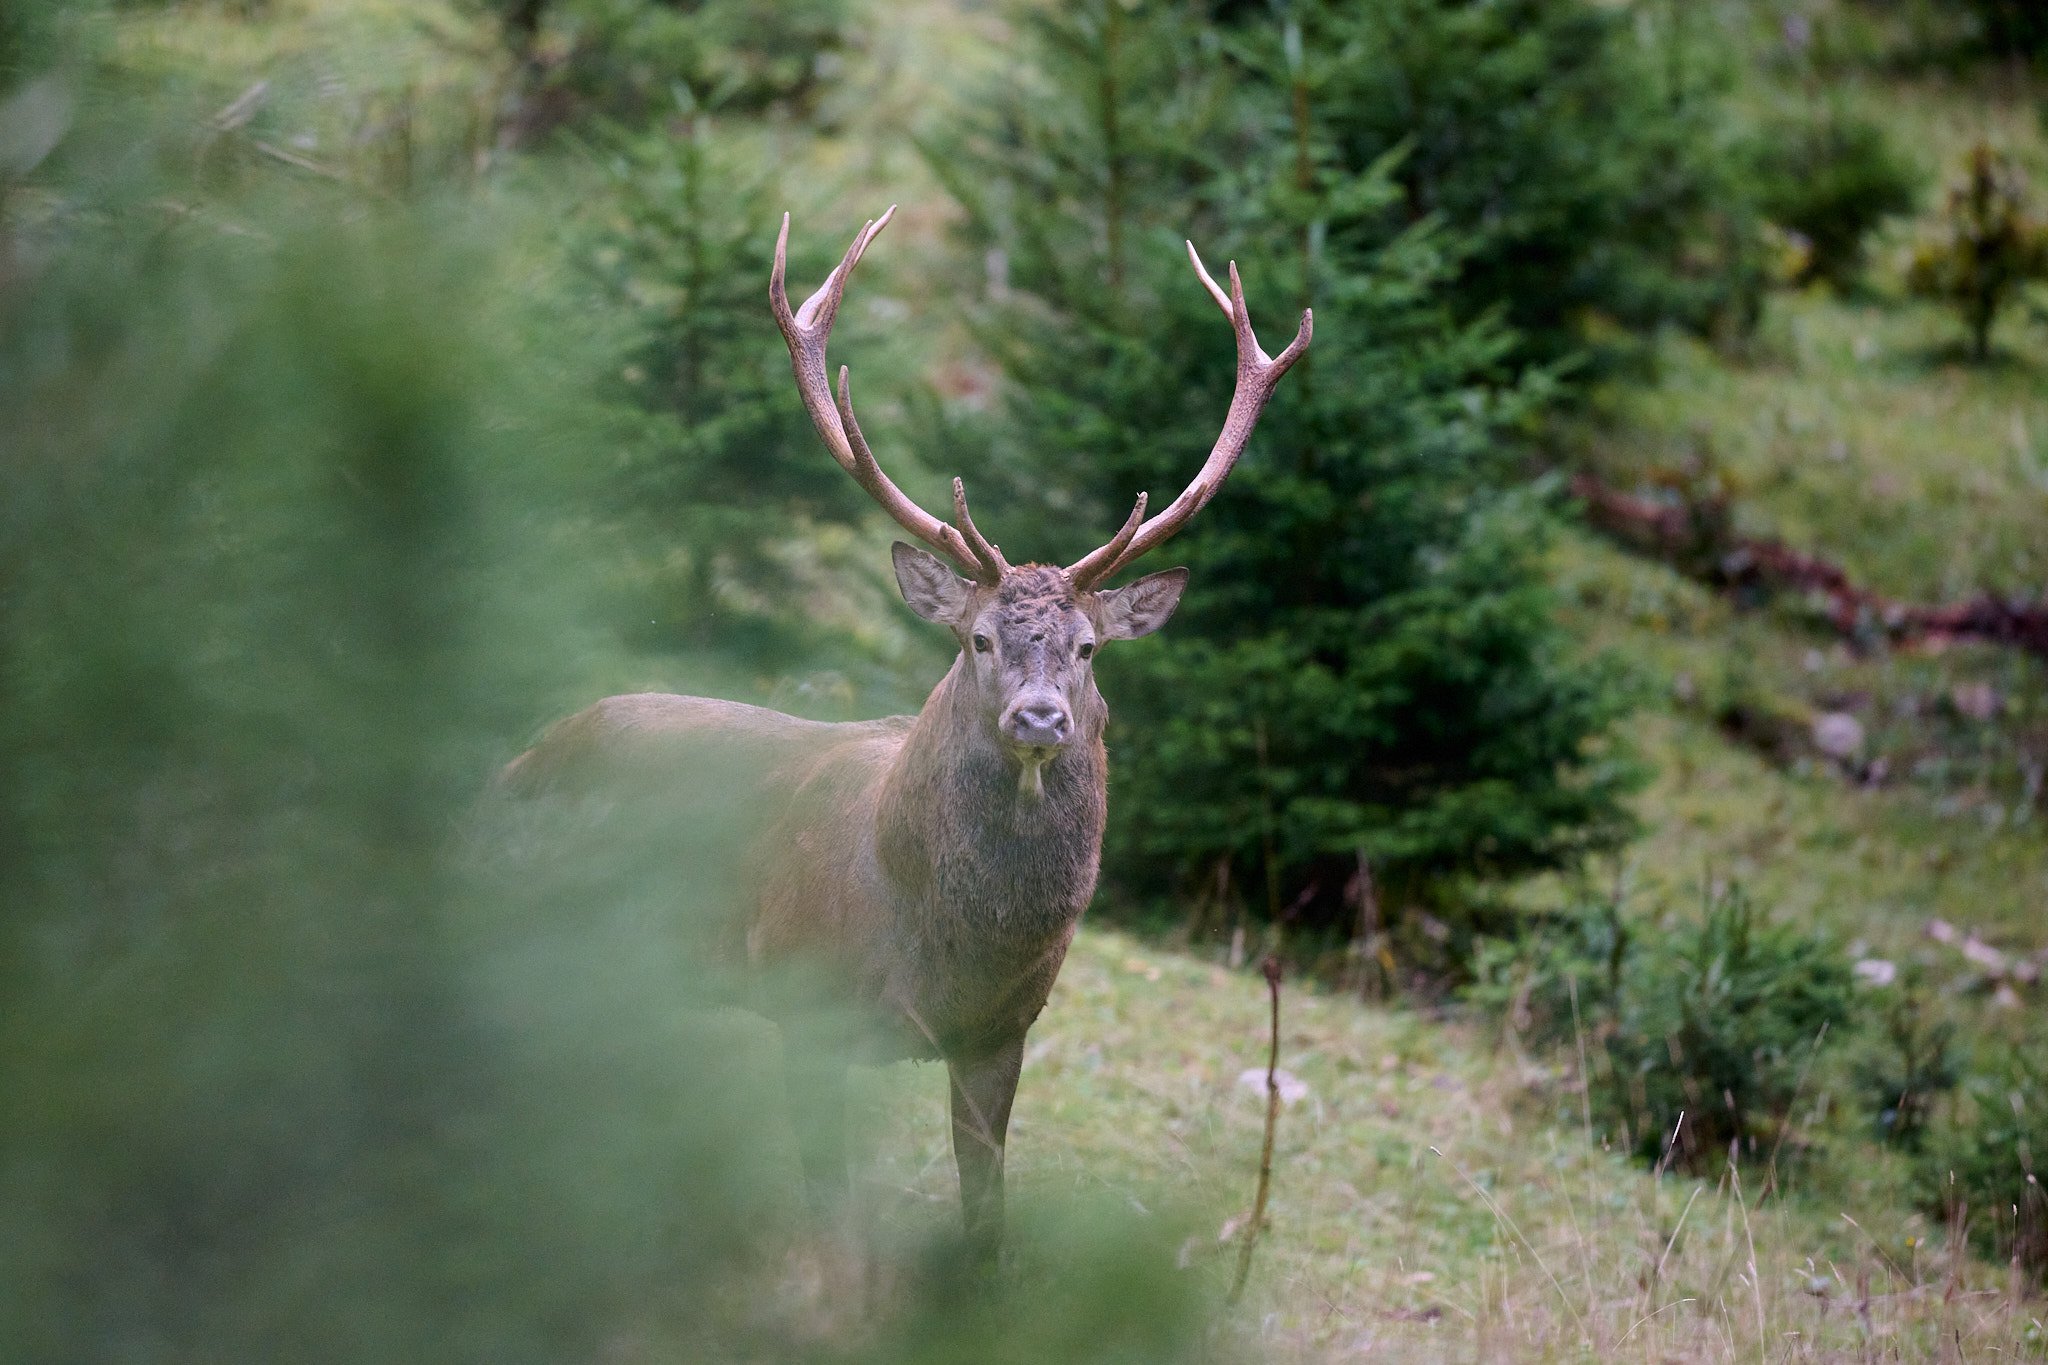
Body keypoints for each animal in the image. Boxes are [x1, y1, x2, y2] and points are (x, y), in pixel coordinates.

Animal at [502, 206, 1310, 1261]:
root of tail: (516, 761)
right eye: (978, 637)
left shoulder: (1000, 1036)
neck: (943, 945)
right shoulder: (803, 1006)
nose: (1040, 717)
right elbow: (834, 1224)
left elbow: (985, 1220)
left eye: (1089, 647)